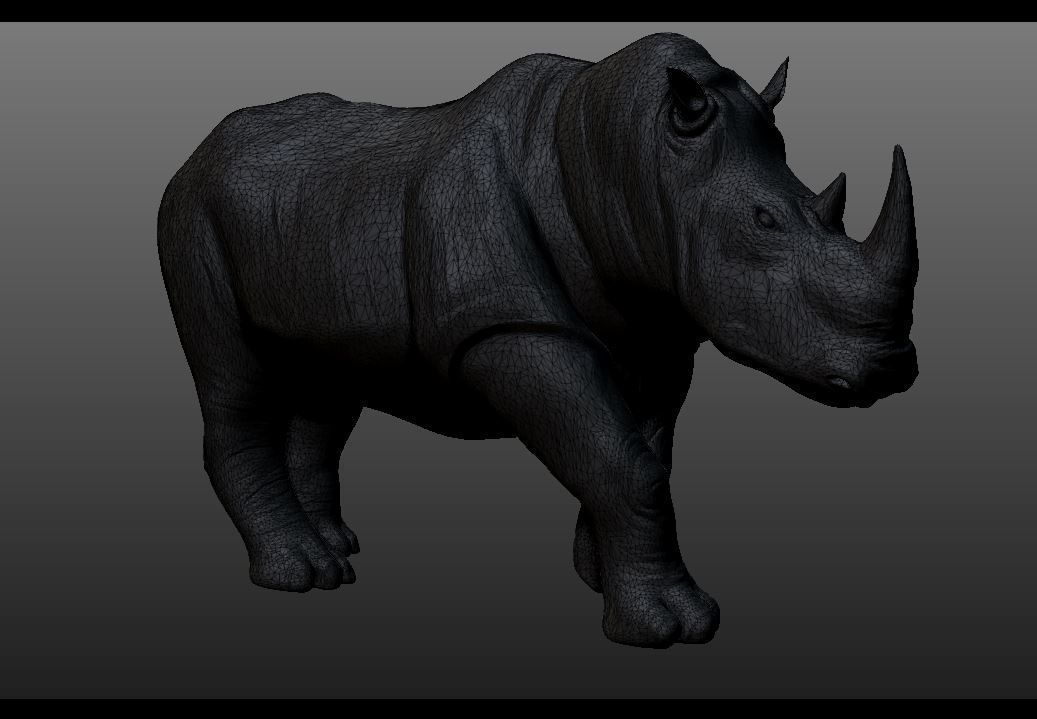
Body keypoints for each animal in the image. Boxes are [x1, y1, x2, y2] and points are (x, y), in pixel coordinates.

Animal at [158, 32, 919, 647]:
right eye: (763, 222)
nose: (891, 370)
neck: (618, 157)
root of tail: (194, 153)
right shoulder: (511, 323)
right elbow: (625, 461)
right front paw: (670, 626)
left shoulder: (654, 327)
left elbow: (638, 453)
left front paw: (598, 576)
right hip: (192, 215)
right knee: (238, 383)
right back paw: (298, 572)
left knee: (327, 389)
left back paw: (336, 551)